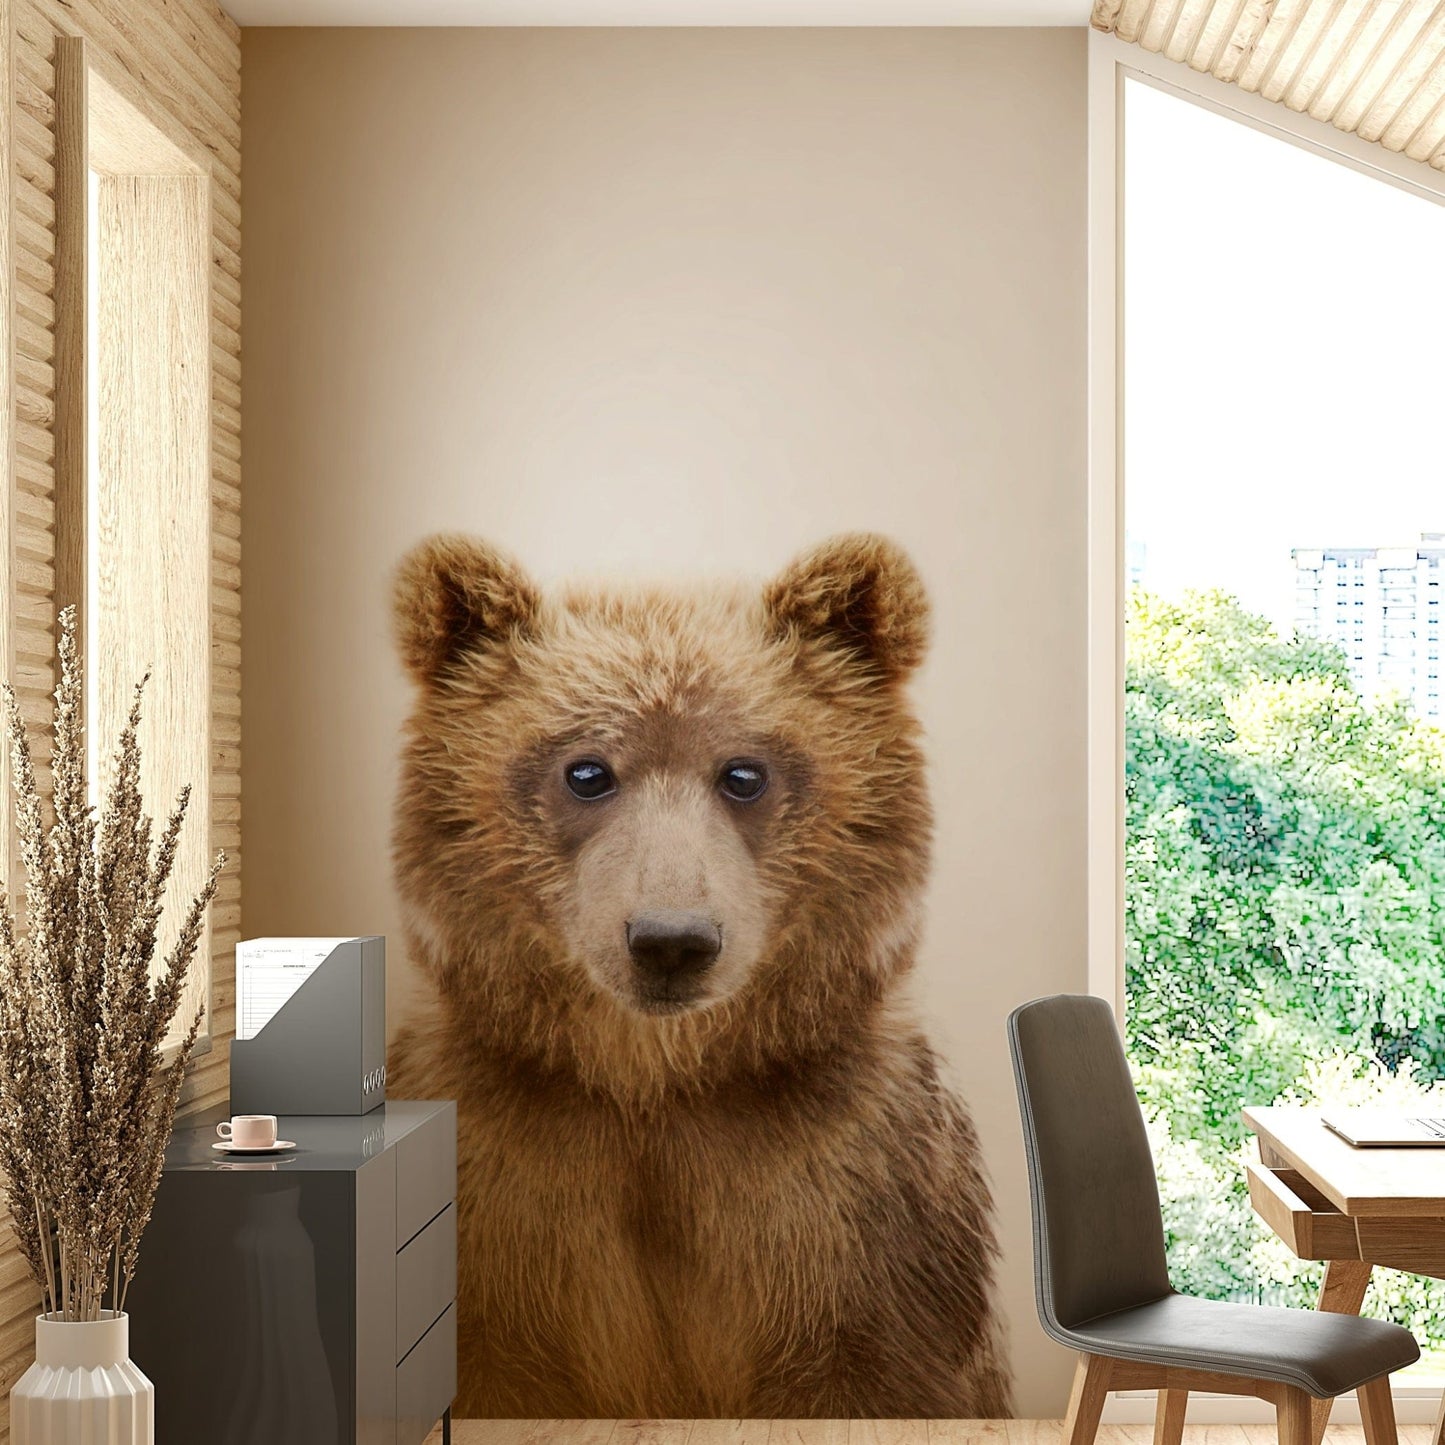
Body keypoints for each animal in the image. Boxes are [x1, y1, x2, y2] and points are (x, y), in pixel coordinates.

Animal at [386, 532, 1013, 1420]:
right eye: (587, 770)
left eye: (743, 772)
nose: (670, 940)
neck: (659, 1084)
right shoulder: (504, 1177)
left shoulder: (857, 1202)